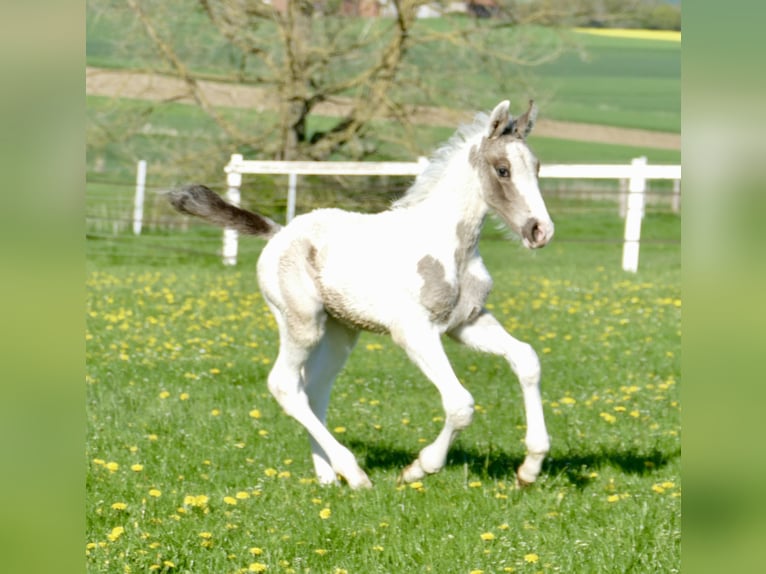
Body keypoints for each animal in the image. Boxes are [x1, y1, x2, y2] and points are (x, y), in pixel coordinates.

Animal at [168, 99, 554, 489]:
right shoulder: (413, 330)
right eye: (503, 170)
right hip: (303, 323)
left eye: (537, 167)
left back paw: (328, 476)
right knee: (285, 385)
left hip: (341, 332)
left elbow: (527, 360)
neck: (448, 247)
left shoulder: (467, 323)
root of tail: (278, 232)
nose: (540, 230)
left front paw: (530, 468)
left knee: (313, 389)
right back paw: (353, 473)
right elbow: (460, 404)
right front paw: (418, 468)